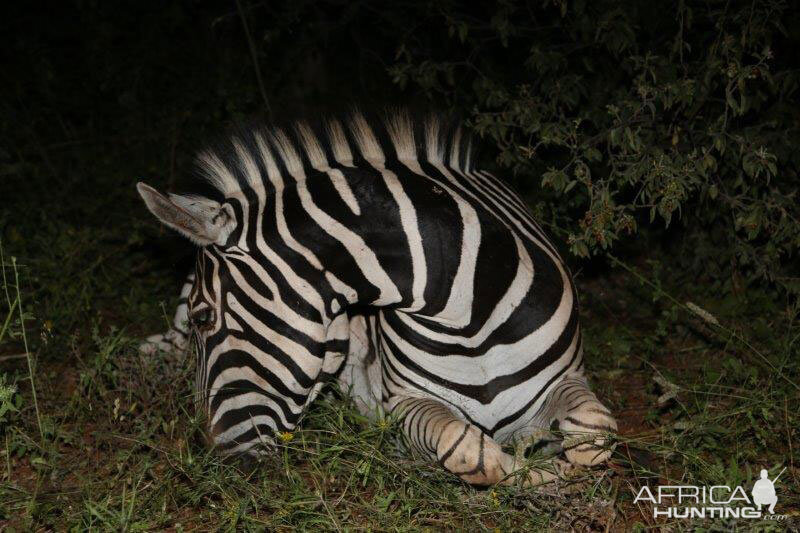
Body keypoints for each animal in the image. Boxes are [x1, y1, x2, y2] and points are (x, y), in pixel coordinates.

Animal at [138, 110, 616, 484]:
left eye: (205, 318)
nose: (214, 463)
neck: (468, 315)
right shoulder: (405, 403)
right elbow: (469, 448)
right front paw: (534, 476)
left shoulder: (568, 378)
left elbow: (594, 430)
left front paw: (555, 468)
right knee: (162, 347)